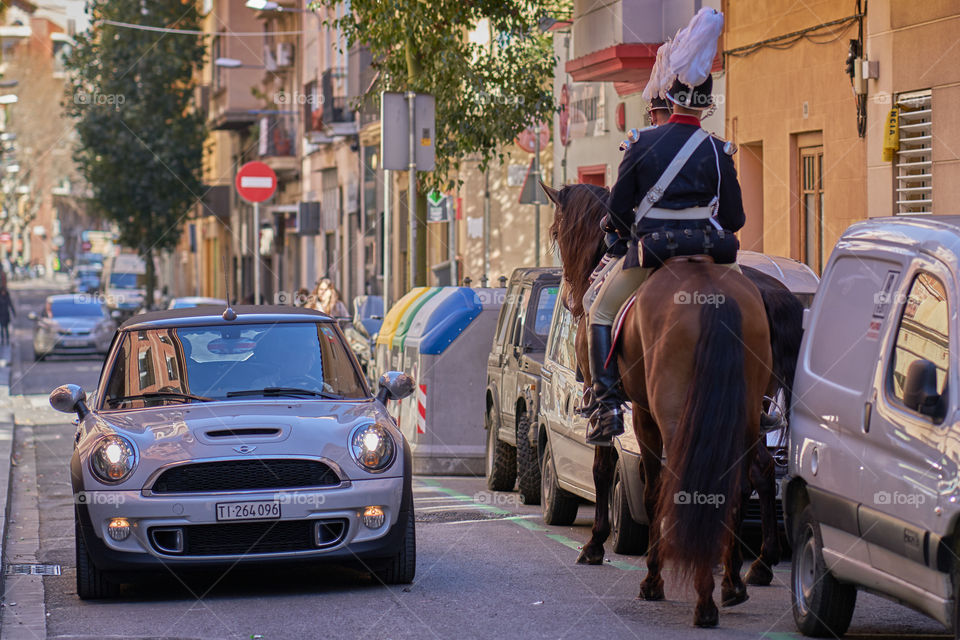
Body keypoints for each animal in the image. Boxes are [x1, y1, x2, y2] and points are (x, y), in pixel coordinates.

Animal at [544, 182, 776, 628]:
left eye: (554, 232)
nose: (569, 300)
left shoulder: (631, 411)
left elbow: (616, 474)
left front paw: (601, 547)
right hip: (744, 413)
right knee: (744, 480)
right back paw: (736, 581)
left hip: (673, 415)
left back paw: (701, 600)